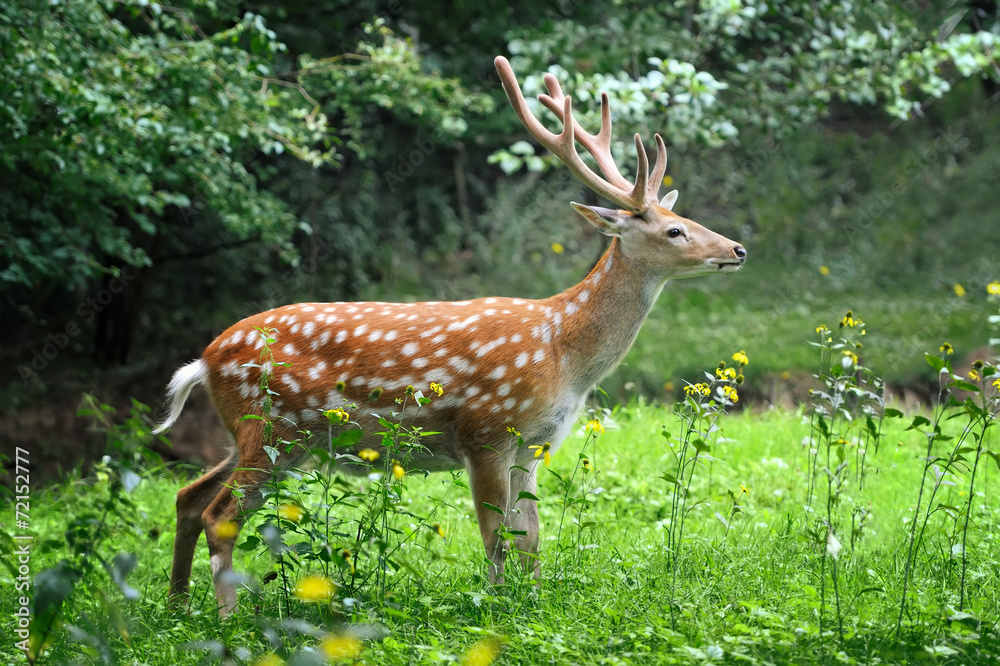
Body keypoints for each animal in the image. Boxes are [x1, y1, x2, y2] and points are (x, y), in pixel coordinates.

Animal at [154, 54, 744, 616]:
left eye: (685, 218)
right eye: (674, 230)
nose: (737, 248)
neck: (562, 354)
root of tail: (204, 361)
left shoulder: (532, 444)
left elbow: (531, 538)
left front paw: (534, 603)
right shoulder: (485, 429)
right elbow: (496, 537)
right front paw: (497, 609)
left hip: (263, 435)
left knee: (188, 496)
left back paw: (178, 607)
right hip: (274, 426)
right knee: (220, 513)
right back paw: (226, 619)